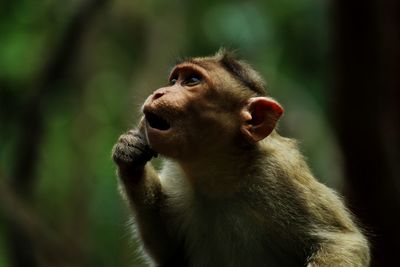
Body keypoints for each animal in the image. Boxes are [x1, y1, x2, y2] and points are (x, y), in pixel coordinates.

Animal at [111, 49, 370, 266]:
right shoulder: (177, 174)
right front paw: (130, 155)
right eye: (174, 80)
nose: (158, 92)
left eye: (192, 81)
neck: (221, 174)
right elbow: (172, 253)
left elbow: (342, 243)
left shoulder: (281, 173)